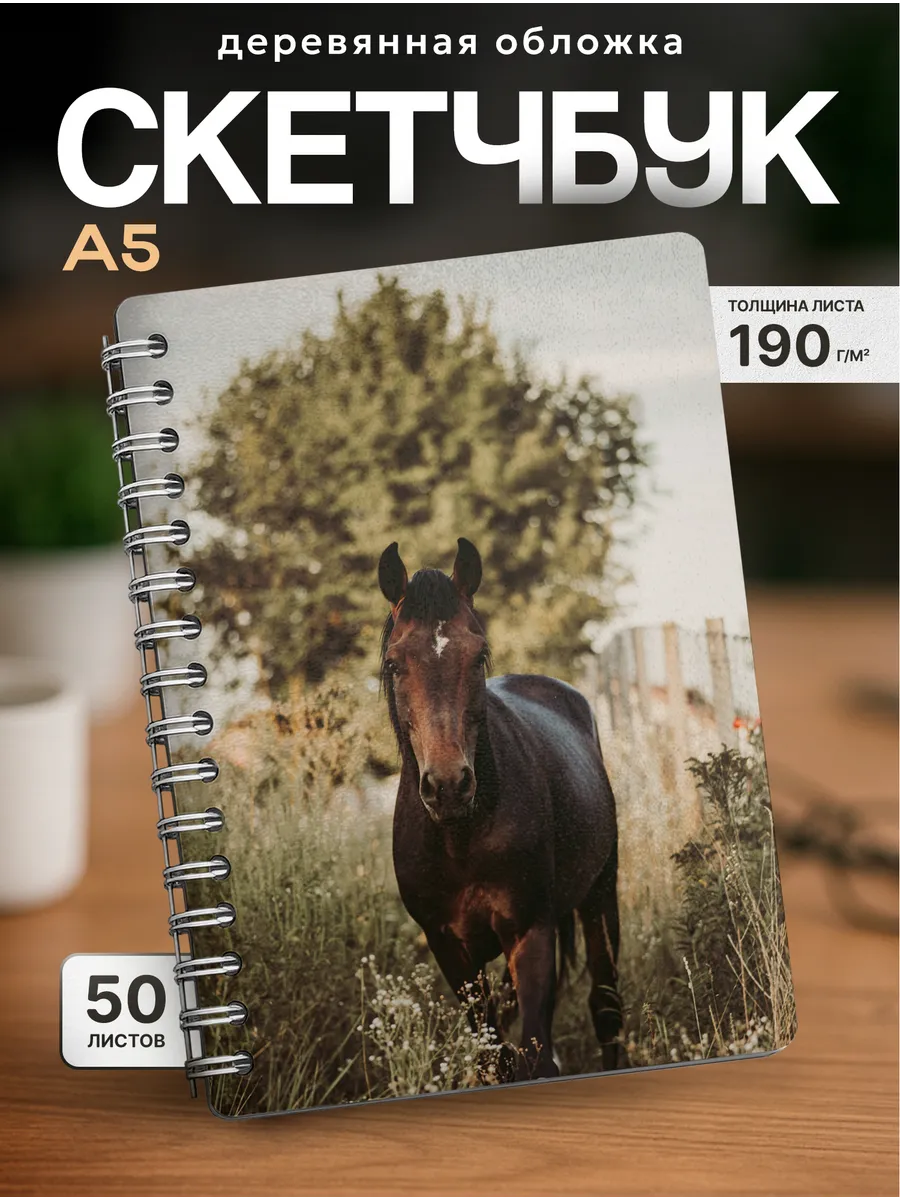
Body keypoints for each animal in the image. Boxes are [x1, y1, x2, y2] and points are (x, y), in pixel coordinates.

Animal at [378, 536, 622, 1080]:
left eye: (479, 655)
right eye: (394, 663)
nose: (448, 786)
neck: (462, 838)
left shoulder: (531, 934)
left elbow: (536, 1053)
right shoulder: (449, 949)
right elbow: (496, 1055)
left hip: (600, 897)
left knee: (607, 1008)